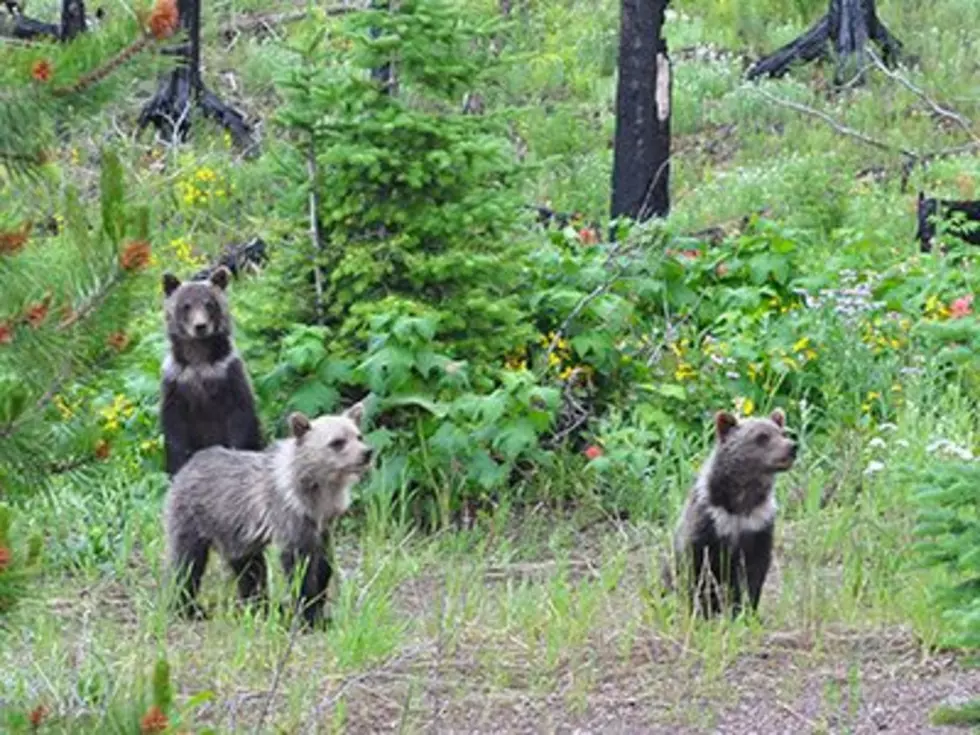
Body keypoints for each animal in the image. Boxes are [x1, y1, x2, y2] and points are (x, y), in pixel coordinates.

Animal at [160, 268, 262, 480]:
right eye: (186, 305)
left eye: (209, 303)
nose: (200, 326)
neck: (199, 357)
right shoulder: (176, 381)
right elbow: (174, 430)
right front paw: (177, 467)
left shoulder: (228, 373)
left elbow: (240, 417)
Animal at [165, 402, 372, 628]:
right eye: (337, 442)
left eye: (358, 436)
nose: (367, 453)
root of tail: (190, 462)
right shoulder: (289, 516)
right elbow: (300, 568)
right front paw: (310, 616)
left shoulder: (323, 523)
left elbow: (324, 564)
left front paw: (320, 608)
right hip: (193, 517)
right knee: (188, 563)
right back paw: (189, 608)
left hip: (236, 532)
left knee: (249, 568)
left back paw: (260, 607)